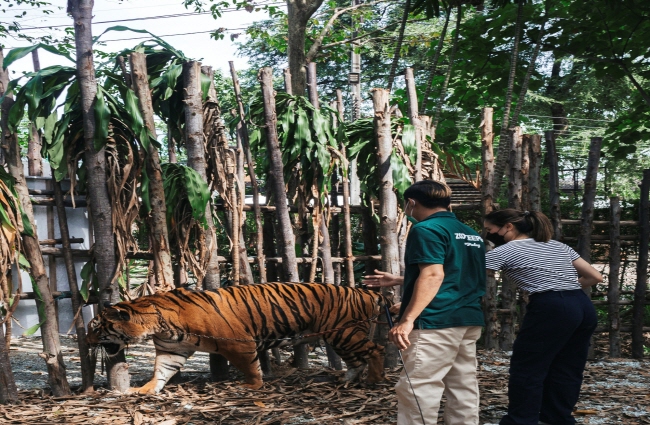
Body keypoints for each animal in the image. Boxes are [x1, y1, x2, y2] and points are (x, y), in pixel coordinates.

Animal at [86, 282, 390, 394]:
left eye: (96, 328)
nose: (87, 342)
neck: (158, 325)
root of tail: (364, 290)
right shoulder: (172, 349)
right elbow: (161, 370)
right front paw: (146, 390)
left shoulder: (238, 343)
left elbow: (250, 367)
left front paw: (252, 386)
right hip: (338, 336)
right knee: (356, 360)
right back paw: (348, 381)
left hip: (344, 332)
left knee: (376, 349)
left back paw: (374, 380)